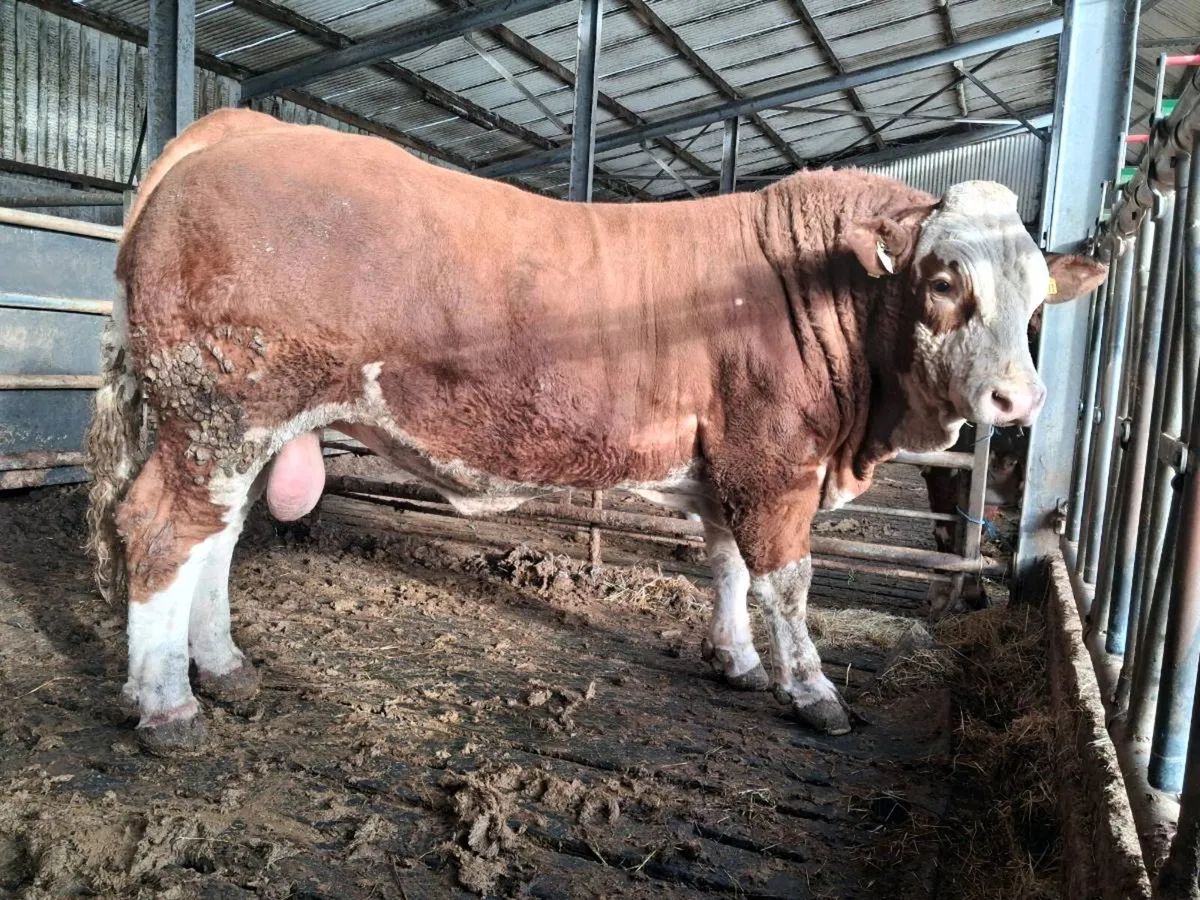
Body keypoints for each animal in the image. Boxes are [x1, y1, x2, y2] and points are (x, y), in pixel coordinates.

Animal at [85, 108, 1106, 756]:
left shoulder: (724, 465)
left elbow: (726, 567)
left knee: (217, 541)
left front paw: (734, 659)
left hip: (242, 429)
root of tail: (244, 129)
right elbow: (786, 582)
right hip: (219, 412)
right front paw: (812, 691)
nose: (1019, 402)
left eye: (1039, 295)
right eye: (943, 279)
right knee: (164, 532)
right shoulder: (776, 464)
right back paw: (169, 706)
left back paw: (221, 667)